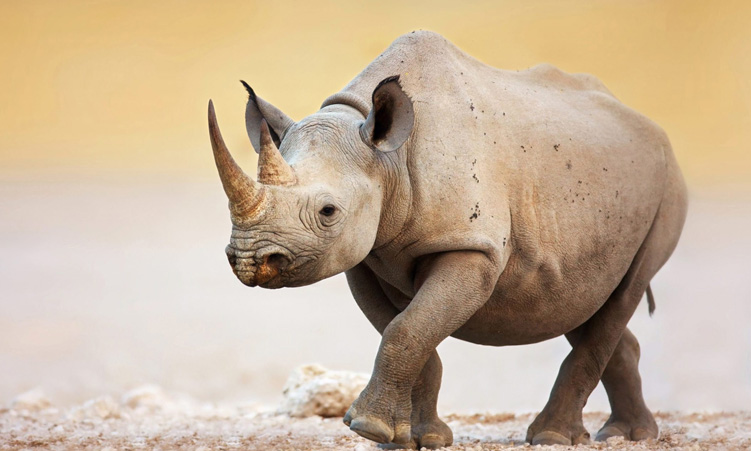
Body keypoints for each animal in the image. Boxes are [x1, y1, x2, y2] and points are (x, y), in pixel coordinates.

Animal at [207, 31, 687, 448]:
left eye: (328, 212)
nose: (250, 260)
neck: (387, 158)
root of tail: (650, 126)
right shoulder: (365, 256)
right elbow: (408, 330)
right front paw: (415, 438)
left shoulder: (472, 246)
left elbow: (408, 328)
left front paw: (367, 427)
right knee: (582, 301)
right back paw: (627, 434)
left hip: (666, 187)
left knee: (624, 292)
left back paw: (554, 437)